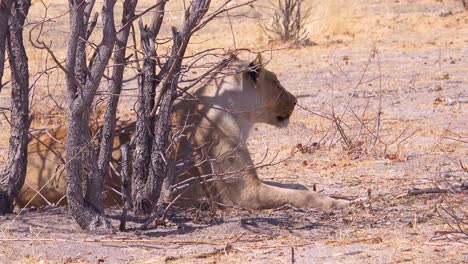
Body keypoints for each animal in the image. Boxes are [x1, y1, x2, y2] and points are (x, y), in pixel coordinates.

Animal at [16, 55, 348, 210]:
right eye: (277, 83)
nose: (294, 101)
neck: (237, 114)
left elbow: (296, 186)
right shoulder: (245, 194)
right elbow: (301, 196)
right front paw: (339, 203)